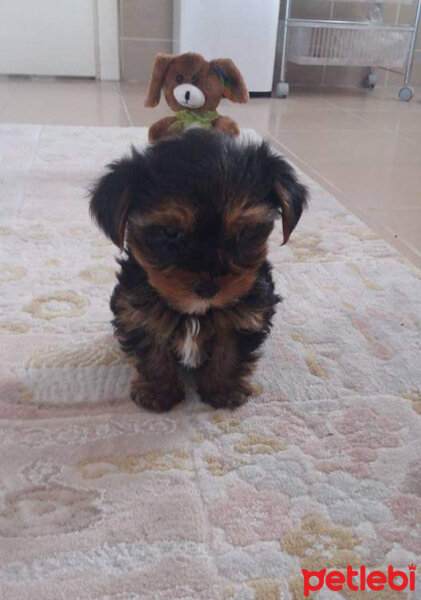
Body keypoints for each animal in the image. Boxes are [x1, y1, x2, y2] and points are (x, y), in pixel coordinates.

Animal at [89, 131, 306, 412]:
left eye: (243, 233)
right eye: (171, 233)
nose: (208, 287)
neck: (195, 312)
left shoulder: (248, 314)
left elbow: (230, 351)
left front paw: (223, 388)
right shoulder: (137, 311)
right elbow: (152, 347)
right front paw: (158, 391)